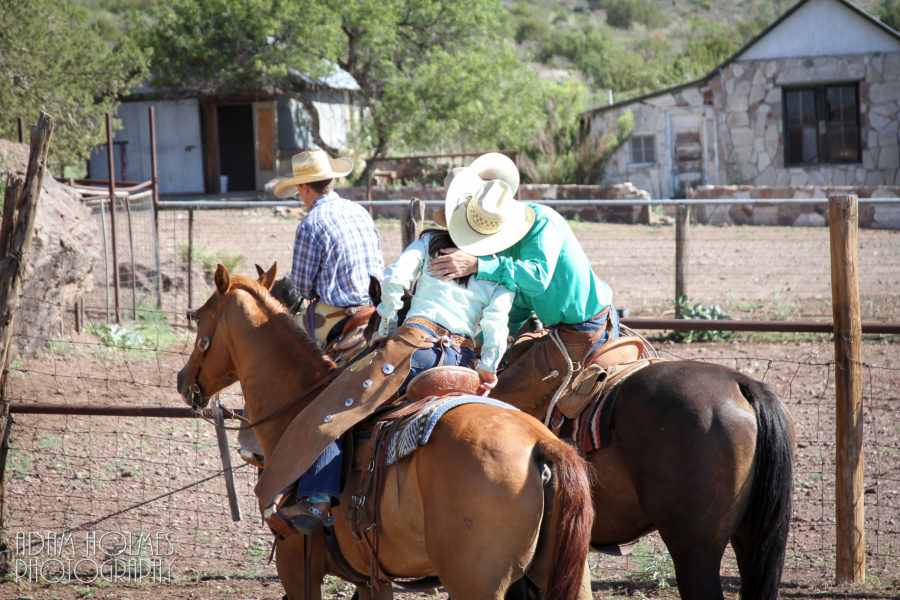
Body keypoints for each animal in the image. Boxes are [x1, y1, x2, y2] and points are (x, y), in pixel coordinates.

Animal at [176, 266, 596, 600]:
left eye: (199, 317)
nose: (183, 380)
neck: (296, 407)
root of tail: (541, 443)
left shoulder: (297, 566)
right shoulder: (371, 578)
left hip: (476, 584)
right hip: (569, 577)